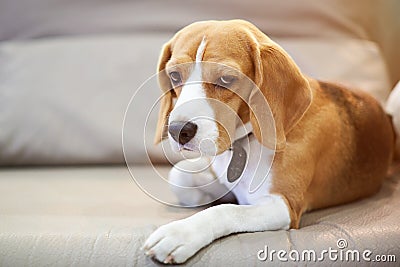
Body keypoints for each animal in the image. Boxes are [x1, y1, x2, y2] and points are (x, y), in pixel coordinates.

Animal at [142, 19, 396, 264]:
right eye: (174, 76)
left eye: (226, 78)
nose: (177, 131)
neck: (247, 142)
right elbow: (179, 175)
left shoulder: (284, 205)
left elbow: (226, 211)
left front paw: (181, 233)